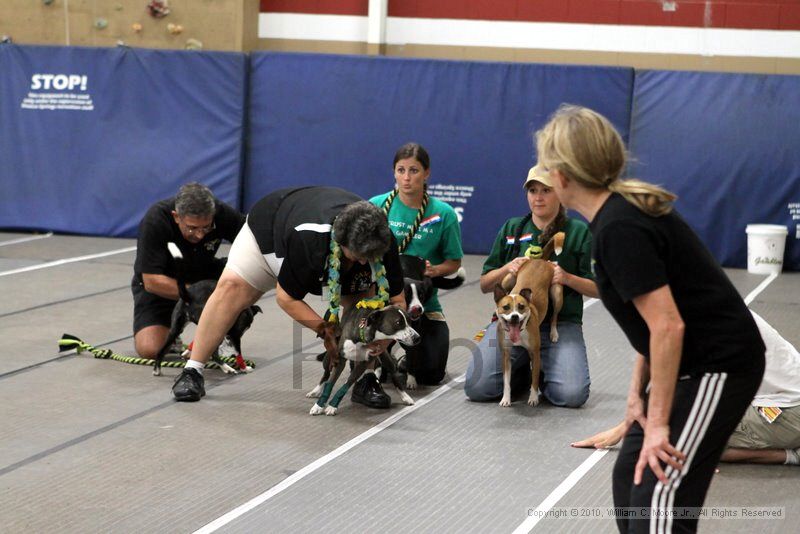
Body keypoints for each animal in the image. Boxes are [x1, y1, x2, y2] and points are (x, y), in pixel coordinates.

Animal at [152, 246, 260, 376]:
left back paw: (157, 370)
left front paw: (187, 352)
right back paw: (228, 368)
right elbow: (238, 351)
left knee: (162, 349)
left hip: (177, 328)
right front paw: (244, 368)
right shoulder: (235, 334)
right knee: (214, 353)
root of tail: (189, 296)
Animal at [490, 232, 564, 408]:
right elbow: (506, 381)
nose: (514, 316)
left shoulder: (535, 354)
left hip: (557, 292)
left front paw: (533, 397)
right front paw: (506, 399)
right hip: (508, 277)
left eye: (521, 307)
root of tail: (540, 260)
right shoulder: (505, 355)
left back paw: (554, 333)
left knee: (554, 316)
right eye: (506, 307)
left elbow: (535, 379)